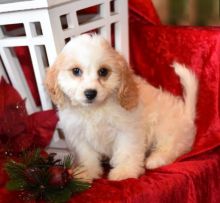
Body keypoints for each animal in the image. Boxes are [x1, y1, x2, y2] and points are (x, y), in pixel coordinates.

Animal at [44, 34, 198, 182]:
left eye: (103, 71)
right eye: (76, 71)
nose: (90, 93)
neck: (95, 109)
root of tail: (187, 114)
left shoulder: (127, 130)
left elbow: (126, 151)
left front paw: (125, 172)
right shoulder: (79, 135)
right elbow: (87, 156)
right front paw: (85, 173)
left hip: (165, 126)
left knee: (172, 147)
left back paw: (155, 160)